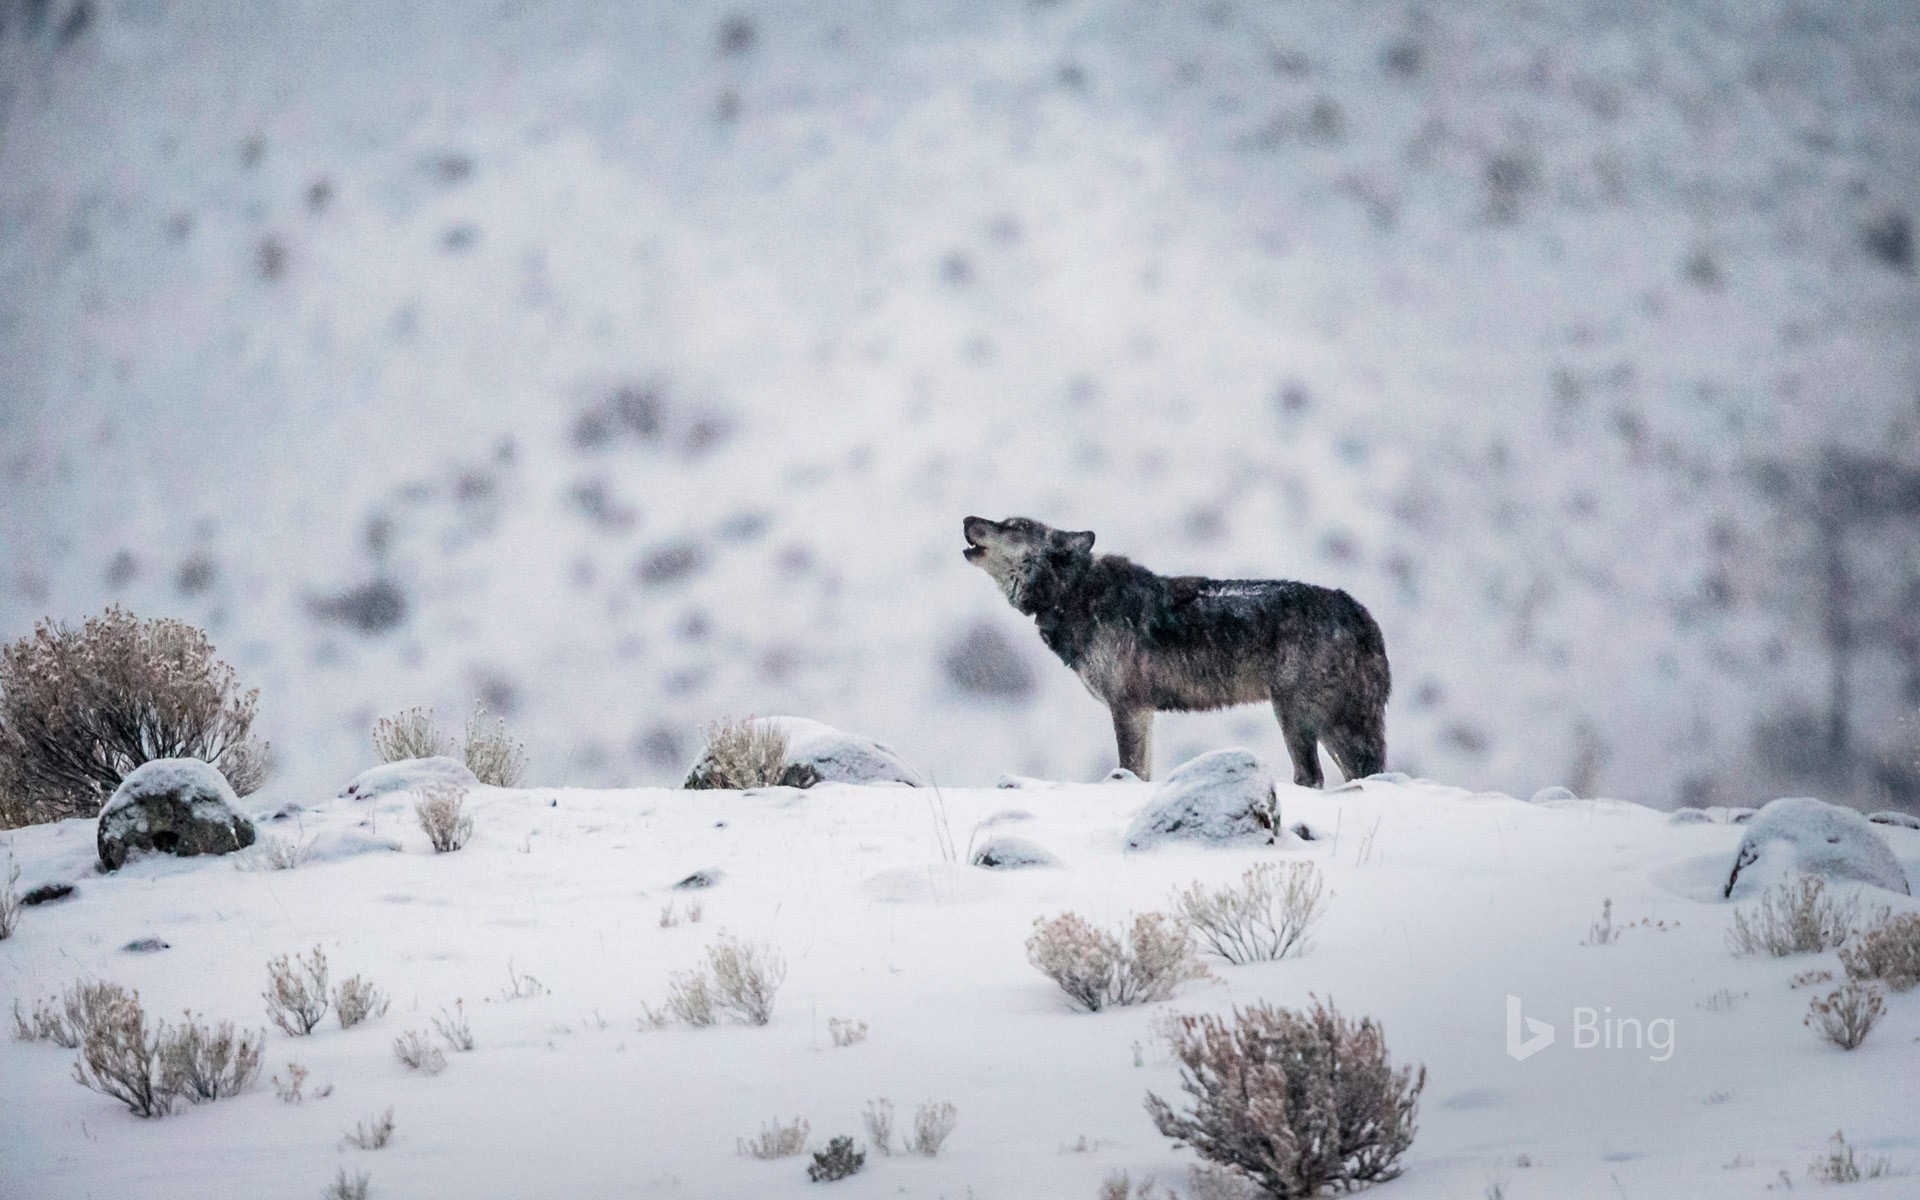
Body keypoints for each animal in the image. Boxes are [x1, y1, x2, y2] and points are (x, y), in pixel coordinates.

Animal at [967, 514, 1390, 787]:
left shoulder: (1129, 707)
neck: (1073, 594)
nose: (968, 517)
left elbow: (1130, 770)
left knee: (1315, 776)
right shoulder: (1144, 712)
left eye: (1015, 526)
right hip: (1329, 724)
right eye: (1004, 521)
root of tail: (1360, 613)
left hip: (1299, 715)